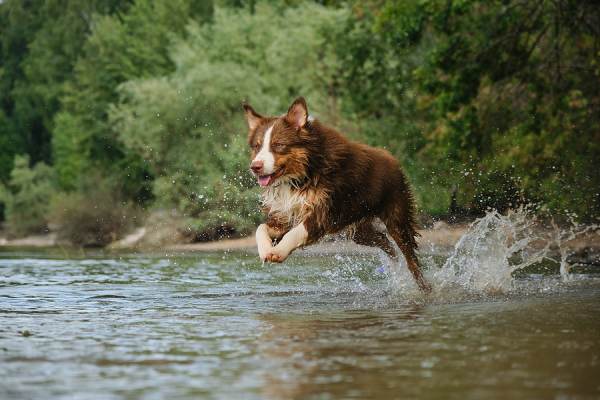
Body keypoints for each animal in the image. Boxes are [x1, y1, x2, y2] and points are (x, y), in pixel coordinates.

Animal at [244, 96, 432, 290]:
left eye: (278, 145)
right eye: (257, 146)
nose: (255, 167)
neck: (305, 172)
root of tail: (394, 160)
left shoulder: (325, 211)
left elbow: (297, 232)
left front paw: (279, 252)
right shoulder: (286, 213)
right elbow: (261, 228)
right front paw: (265, 249)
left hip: (396, 217)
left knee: (411, 258)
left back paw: (424, 286)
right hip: (360, 228)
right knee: (384, 240)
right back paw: (394, 261)